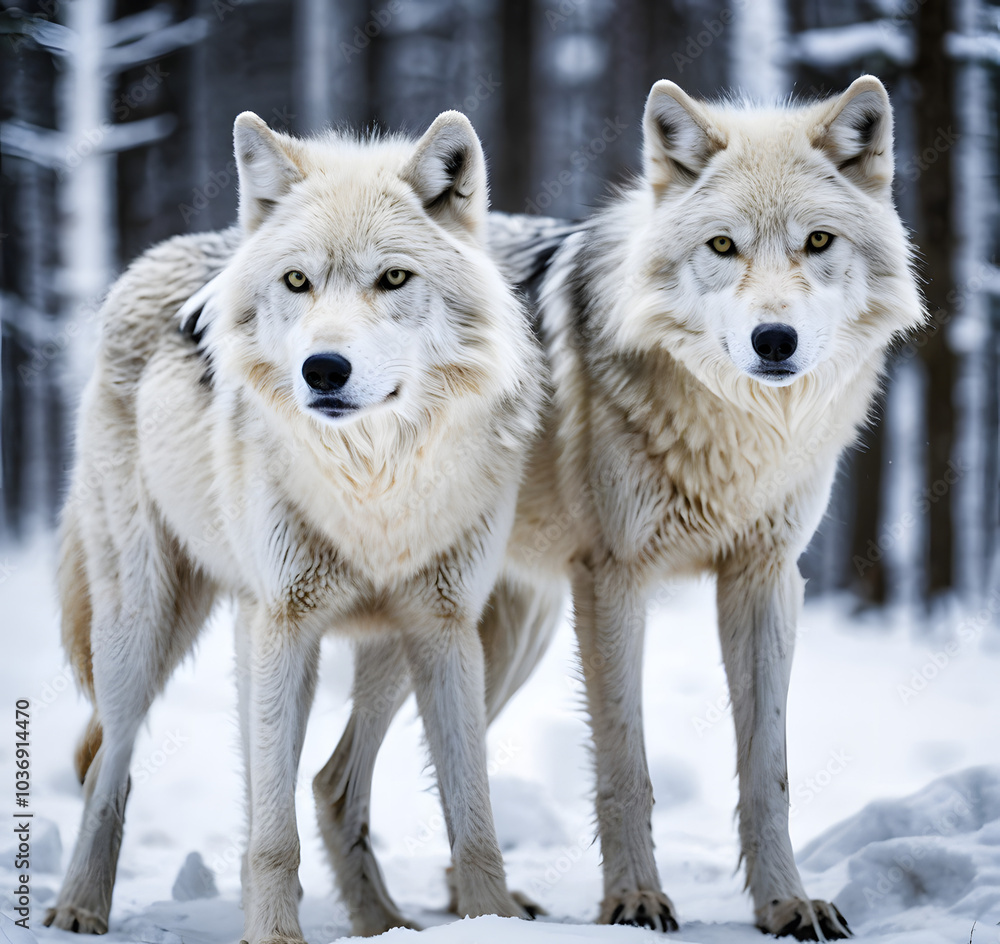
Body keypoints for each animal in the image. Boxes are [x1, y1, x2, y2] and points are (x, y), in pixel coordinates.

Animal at [44, 109, 545, 944]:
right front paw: (274, 935)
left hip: (365, 647)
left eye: (394, 278)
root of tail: (155, 257)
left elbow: (473, 819)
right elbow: (272, 834)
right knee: (111, 765)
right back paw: (77, 907)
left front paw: (491, 921)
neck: (371, 485)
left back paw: (381, 919)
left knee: (317, 780)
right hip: (143, 627)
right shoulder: (285, 624)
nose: (324, 369)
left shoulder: (446, 631)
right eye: (298, 282)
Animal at [310, 75, 924, 938]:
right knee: (334, 781)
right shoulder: (613, 579)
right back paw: (391, 919)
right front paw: (633, 900)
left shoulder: (765, 578)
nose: (774, 340)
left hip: (505, 635)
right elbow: (624, 764)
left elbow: (767, 773)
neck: (737, 431)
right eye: (723, 247)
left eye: (818, 242)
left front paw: (786, 904)